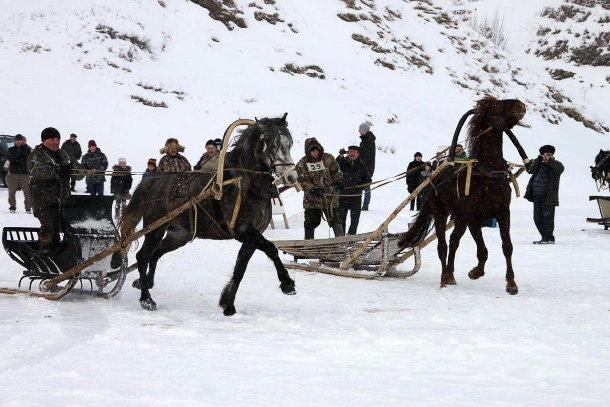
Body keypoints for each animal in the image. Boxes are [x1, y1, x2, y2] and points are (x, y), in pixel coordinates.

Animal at [396, 97, 524, 294]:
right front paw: (476, 271)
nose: (520, 105)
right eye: (496, 105)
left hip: (459, 218)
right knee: (443, 246)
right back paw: (443, 279)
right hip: (441, 213)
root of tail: (435, 177)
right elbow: (483, 250)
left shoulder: (503, 212)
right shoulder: (473, 216)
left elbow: (507, 247)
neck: (488, 172)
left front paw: (511, 283)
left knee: (453, 241)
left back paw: (450, 276)